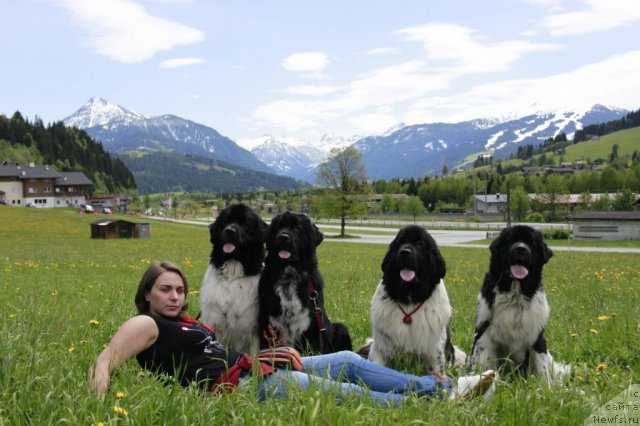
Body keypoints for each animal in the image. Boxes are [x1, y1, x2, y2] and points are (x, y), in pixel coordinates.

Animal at [201, 203, 268, 352]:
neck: (233, 276)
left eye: (245, 223)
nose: (230, 231)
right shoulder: (215, 322)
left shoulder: (253, 330)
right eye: (226, 221)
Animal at [258, 211, 352, 354]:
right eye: (278, 227)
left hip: (341, 329)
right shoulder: (267, 323)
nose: (283, 237)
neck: (289, 277)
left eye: (297, 228)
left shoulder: (314, 328)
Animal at [364, 225, 464, 374]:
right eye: (400, 243)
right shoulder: (381, 347)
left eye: (420, 244)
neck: (409, 299)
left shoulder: (434, 351)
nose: (405, 252)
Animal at [470, 225, 568, 382]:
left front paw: (546, 387)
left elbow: (543, 369)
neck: (515, 294)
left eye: (531, 243)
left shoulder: (537, 337)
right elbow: (481, 363)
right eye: (510, 240)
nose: (521, 248)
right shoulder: (483, 334)